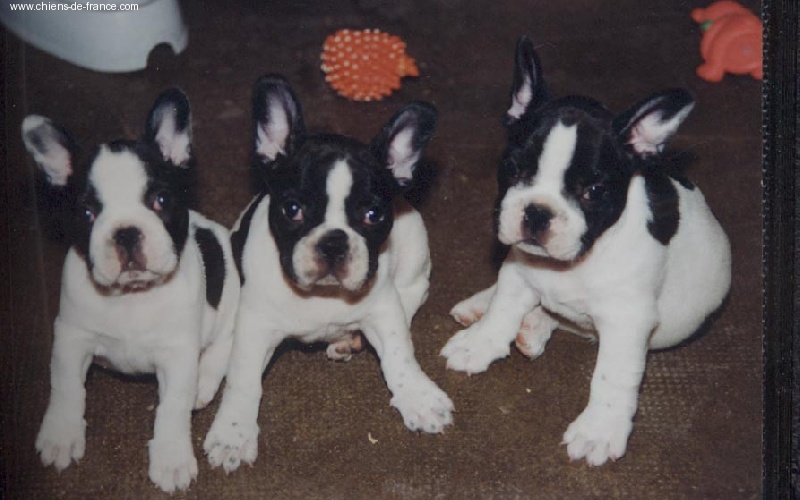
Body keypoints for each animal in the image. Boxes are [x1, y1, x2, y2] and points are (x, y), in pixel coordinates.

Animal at [22, 90, 241, 492]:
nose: (125, 232)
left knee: (224, 344)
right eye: (87, 213)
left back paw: (203, 382)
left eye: (160, 201)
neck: (132, 296)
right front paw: (61, 435)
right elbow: (66, 387)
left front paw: (171, 459)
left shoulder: (177, 354)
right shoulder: (71, 337)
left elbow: (172, 407)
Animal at [203, 75, 454, 472]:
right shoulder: (255, 323)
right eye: (292, 209)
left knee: (412, 294)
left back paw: (347, 340)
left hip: (415, 252)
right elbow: (243, 378)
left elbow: (400, 353)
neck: (323, 295)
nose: (334, 242)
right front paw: (233, 432)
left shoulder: (384, 309)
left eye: (373, 215)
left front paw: (418, 396)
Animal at [440, 38, 736, 464]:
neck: (576, 261)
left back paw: (536, 324)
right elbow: (502, 310)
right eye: (512, 167)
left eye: (593, 191)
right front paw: (480, 341)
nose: (537, 212)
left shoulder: (627, 319)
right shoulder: (519, 272)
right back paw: (492, 309)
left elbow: (612, 376)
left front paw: (599, 430)